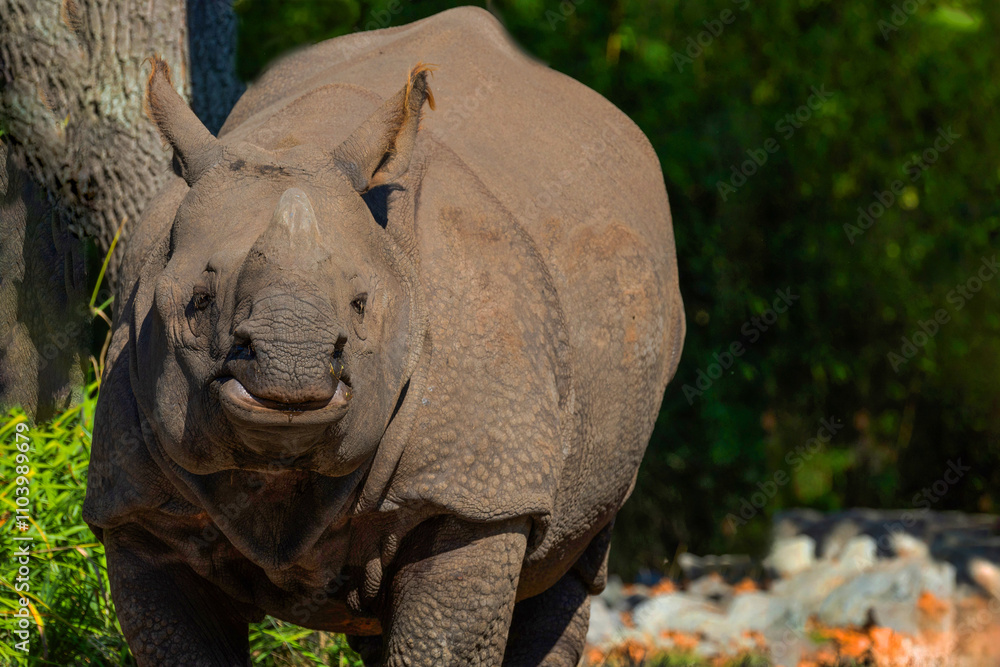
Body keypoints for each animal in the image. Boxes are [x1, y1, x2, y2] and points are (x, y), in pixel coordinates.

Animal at [83, 7, 684, 666]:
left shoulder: (474, 491)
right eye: (198, 302)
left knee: (570, 561)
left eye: (361, 305)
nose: (290, 368)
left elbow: (442, 639)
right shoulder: (136, 508)